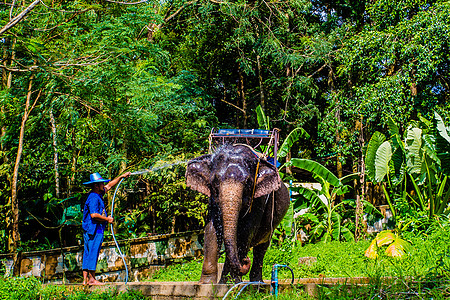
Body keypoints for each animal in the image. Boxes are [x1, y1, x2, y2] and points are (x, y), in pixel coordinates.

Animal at [185, 144, 288, 284]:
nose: (245, 261)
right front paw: (207, 284)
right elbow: (212, 230)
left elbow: (245, 232)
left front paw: (231, 282)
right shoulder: (212, 199)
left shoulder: (259, 198)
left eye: (248, 183)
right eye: (215, 181)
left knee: (261, 248)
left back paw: (256, 282)